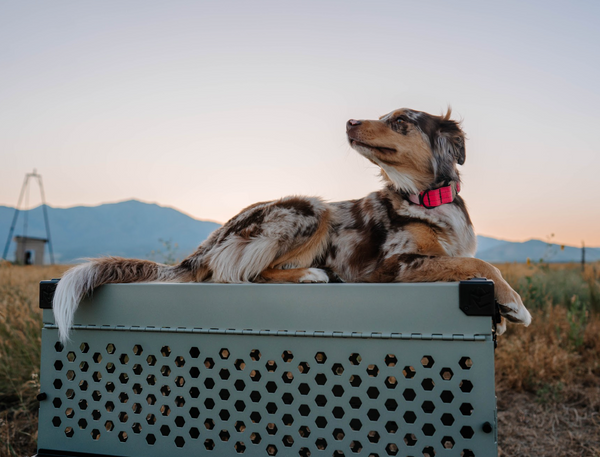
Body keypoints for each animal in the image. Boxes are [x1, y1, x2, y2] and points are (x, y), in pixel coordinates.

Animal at [55, 108, 528, 342]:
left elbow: (470, 262)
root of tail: (210, 241)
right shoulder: (395, 265)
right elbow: (485, 266)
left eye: (400, 122)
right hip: (310, 207)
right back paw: (312, 275)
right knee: (243, 274)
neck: (426, 197)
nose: (349, 121)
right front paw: (515, 305)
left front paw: (502, 315)